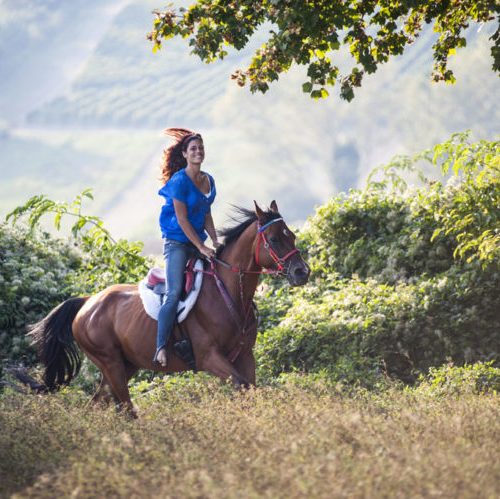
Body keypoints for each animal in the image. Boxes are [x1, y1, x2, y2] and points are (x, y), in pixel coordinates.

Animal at [30, 201, 308, 416]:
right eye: (274, 239)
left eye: (292, 236)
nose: (302, 272)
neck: (228, 294)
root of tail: (87, 302)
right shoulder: (210, 357)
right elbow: (241, 386)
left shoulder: (245, 355)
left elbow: (251, 390)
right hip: (111, 363)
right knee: (125, 408)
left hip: (125, 365)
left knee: (97, 403)